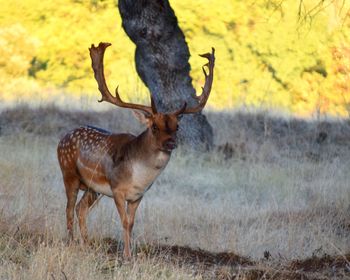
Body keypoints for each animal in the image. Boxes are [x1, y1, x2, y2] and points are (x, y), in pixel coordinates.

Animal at [57, 42, 215, 260]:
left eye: (177, 127)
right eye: (154, 126)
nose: (170, 143)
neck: (140, 177)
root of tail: (62, 139)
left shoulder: (138, 196)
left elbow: (131, 224)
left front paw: (131, 254)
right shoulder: (117, 189)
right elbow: (123, 222)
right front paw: (126, 256)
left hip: (92, 188)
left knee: (80, 209)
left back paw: (86, 245)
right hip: (69, 173)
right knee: (69, 208)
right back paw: (72, 243)